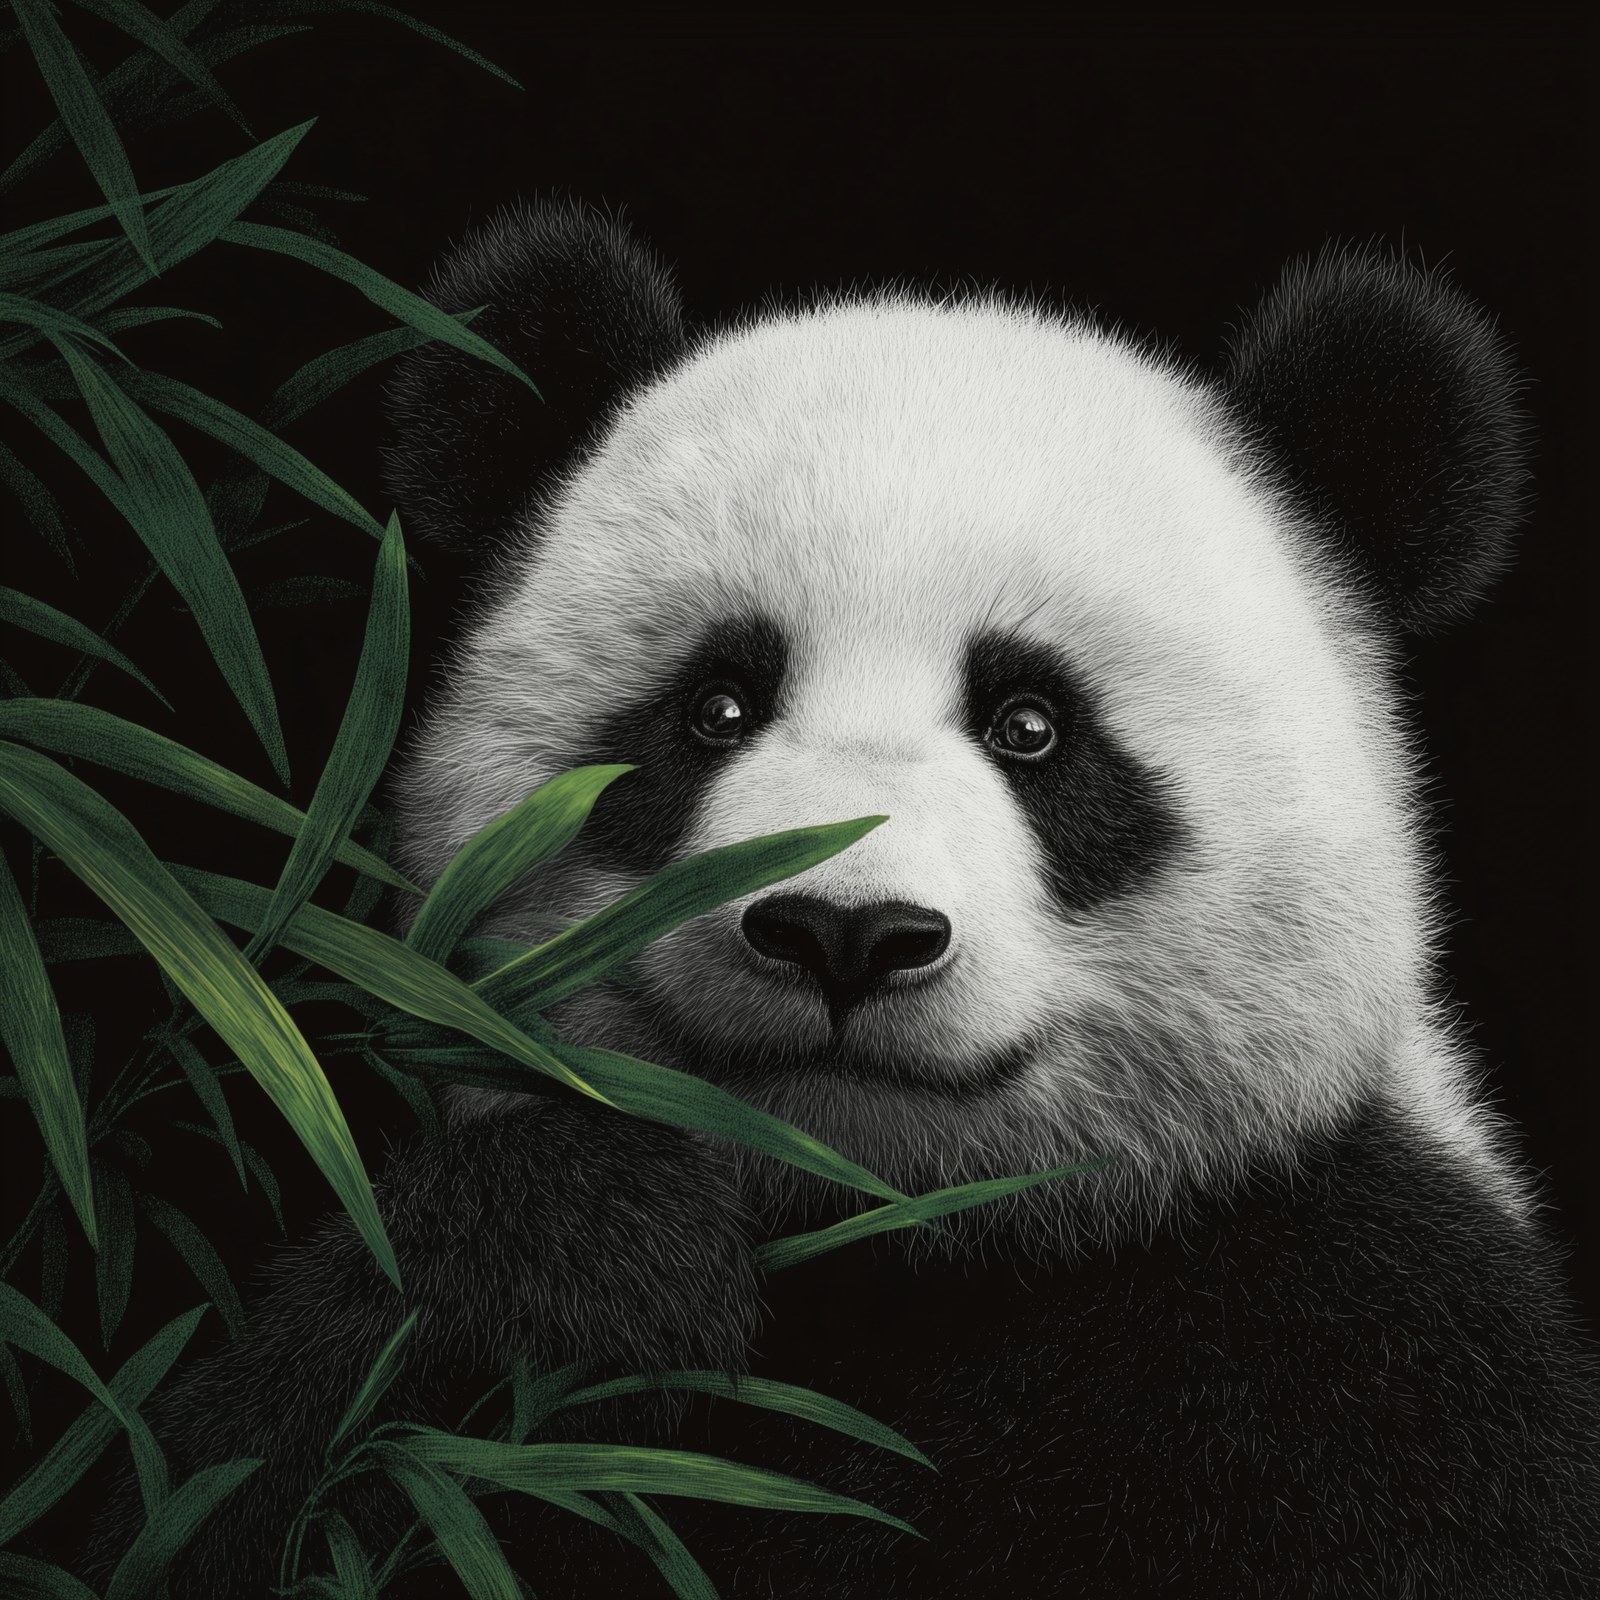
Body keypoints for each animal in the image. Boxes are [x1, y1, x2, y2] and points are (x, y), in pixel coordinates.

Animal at [133, 201, 1600, 1598]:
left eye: (1032, 727)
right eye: (717, 708)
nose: (843, 934)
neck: (885, 1238)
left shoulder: (1354, 1328)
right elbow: (266, 1481)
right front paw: (580, 1269)